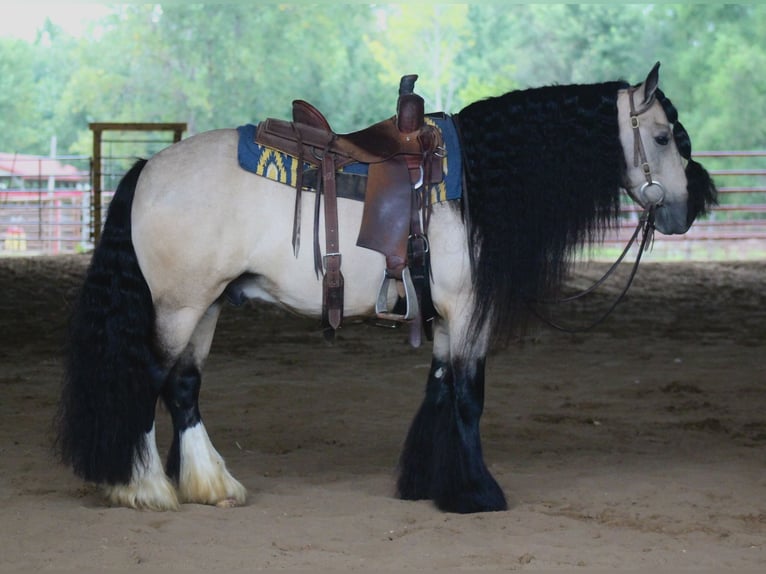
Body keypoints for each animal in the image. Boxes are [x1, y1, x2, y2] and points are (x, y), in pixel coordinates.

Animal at [57, 63, 716, 512]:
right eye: (663, 136)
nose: (689, 208)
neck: (473, 187)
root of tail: (148, 168)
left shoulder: (447, 316)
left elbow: (441, 388)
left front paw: (427, 482)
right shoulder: (468, 311)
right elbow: (468, 397)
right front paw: (477, 493)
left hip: (209, 304)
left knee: (183, 386)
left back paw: (208, 483)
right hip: (178, 306)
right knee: (148, 379)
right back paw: (144, 487)